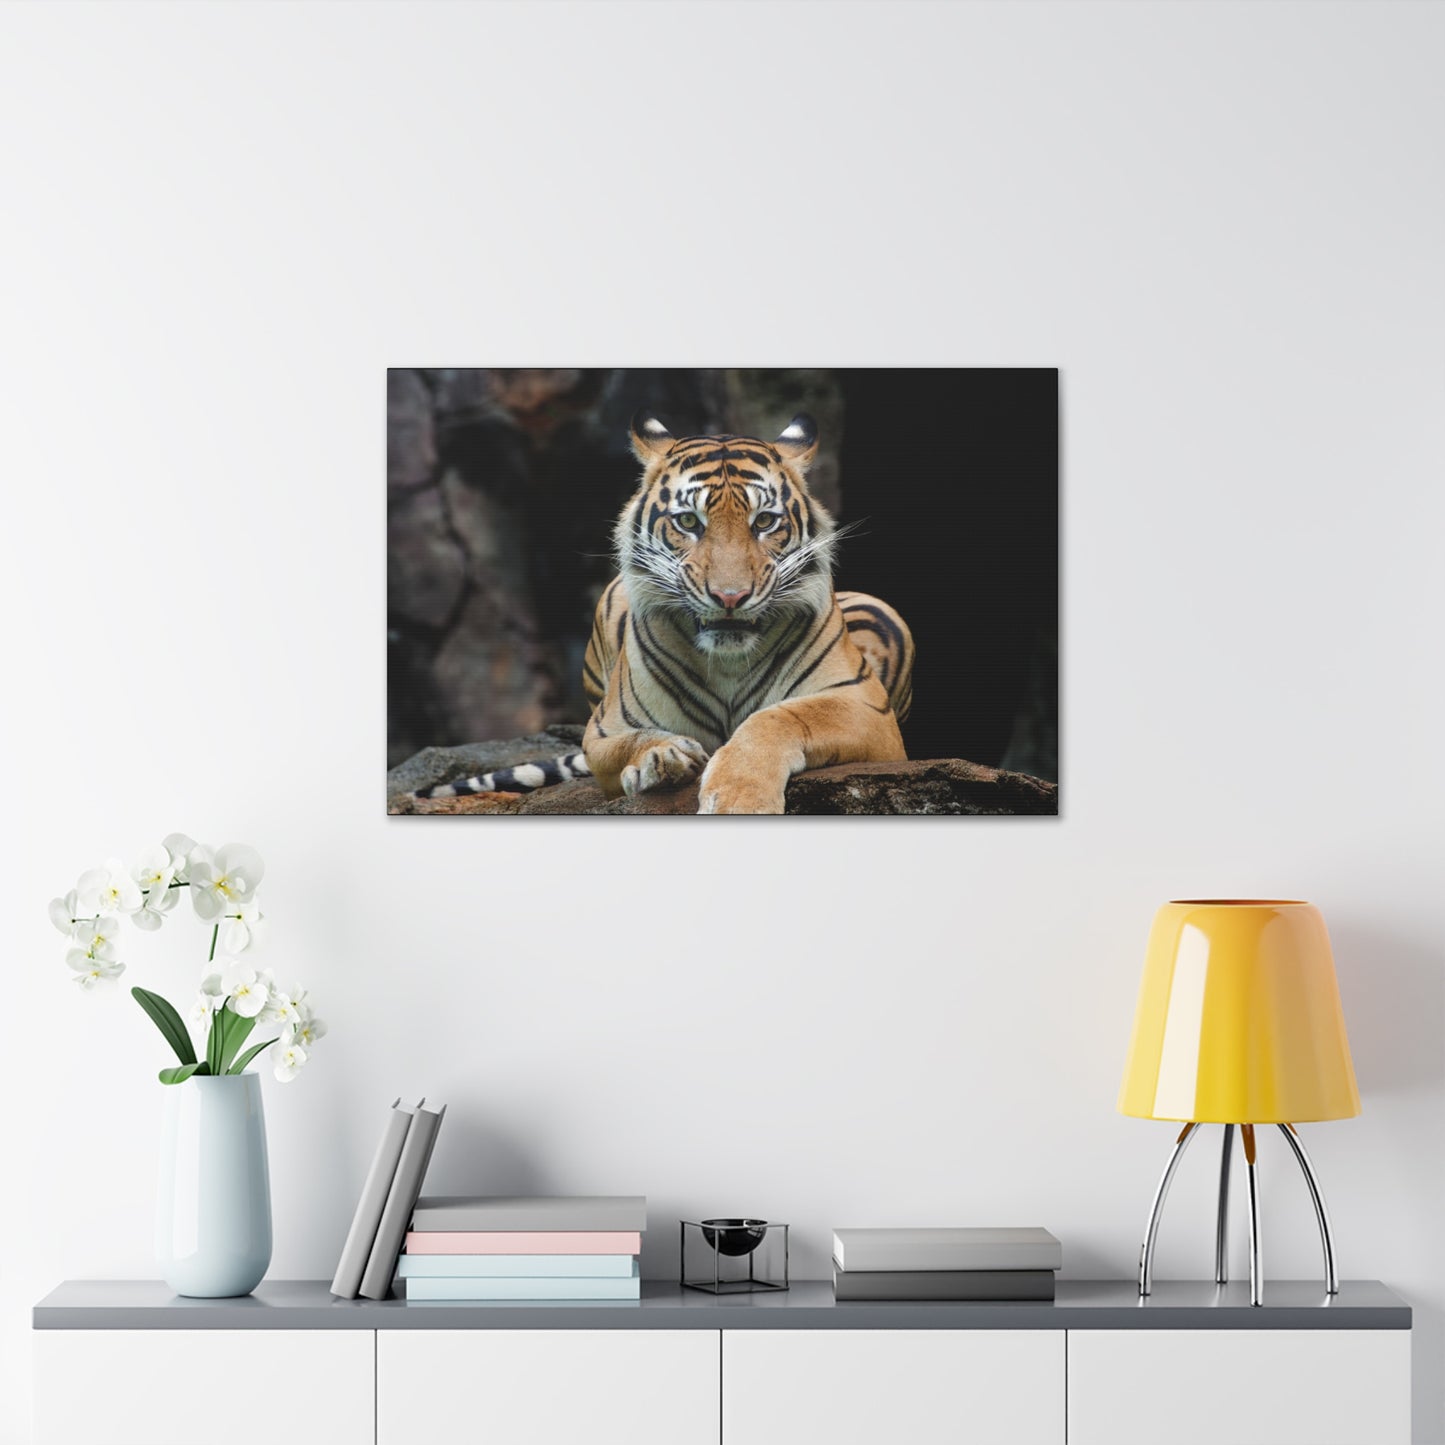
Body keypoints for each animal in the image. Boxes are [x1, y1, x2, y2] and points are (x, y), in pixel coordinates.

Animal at [421, 409, 914, 814]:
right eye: (689, 522)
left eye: (764, 522)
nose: (730, 597)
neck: (729, 661)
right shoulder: (603, 731)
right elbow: (634, 740)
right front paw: (663, 757)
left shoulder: (867, 710)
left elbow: (780, 718)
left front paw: (739, 797)